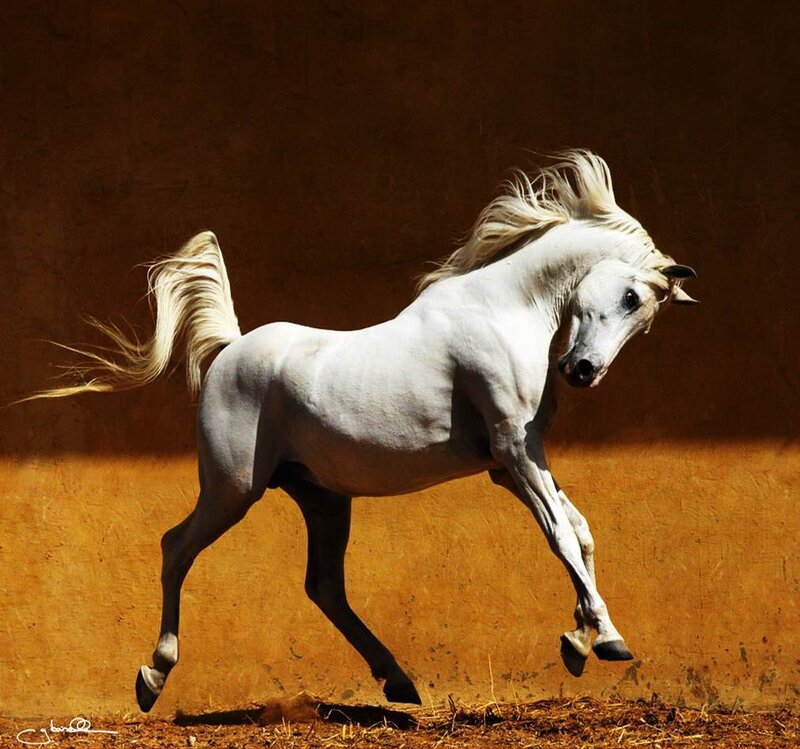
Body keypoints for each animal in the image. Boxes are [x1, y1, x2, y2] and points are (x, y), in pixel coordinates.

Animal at [29, 151, 698, 712]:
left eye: (643, 313)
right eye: (631, 295)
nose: (582, 370)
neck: (502, 311)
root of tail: (229, 350)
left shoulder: (511, 463)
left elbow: (580, 533)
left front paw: (581, 640)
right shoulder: (514, 448)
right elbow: (561, 536)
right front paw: (604, 641)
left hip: (322, 498)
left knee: (324, 587)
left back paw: (398, 681)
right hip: (232, 490)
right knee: (176, 548)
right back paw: (153, 676)